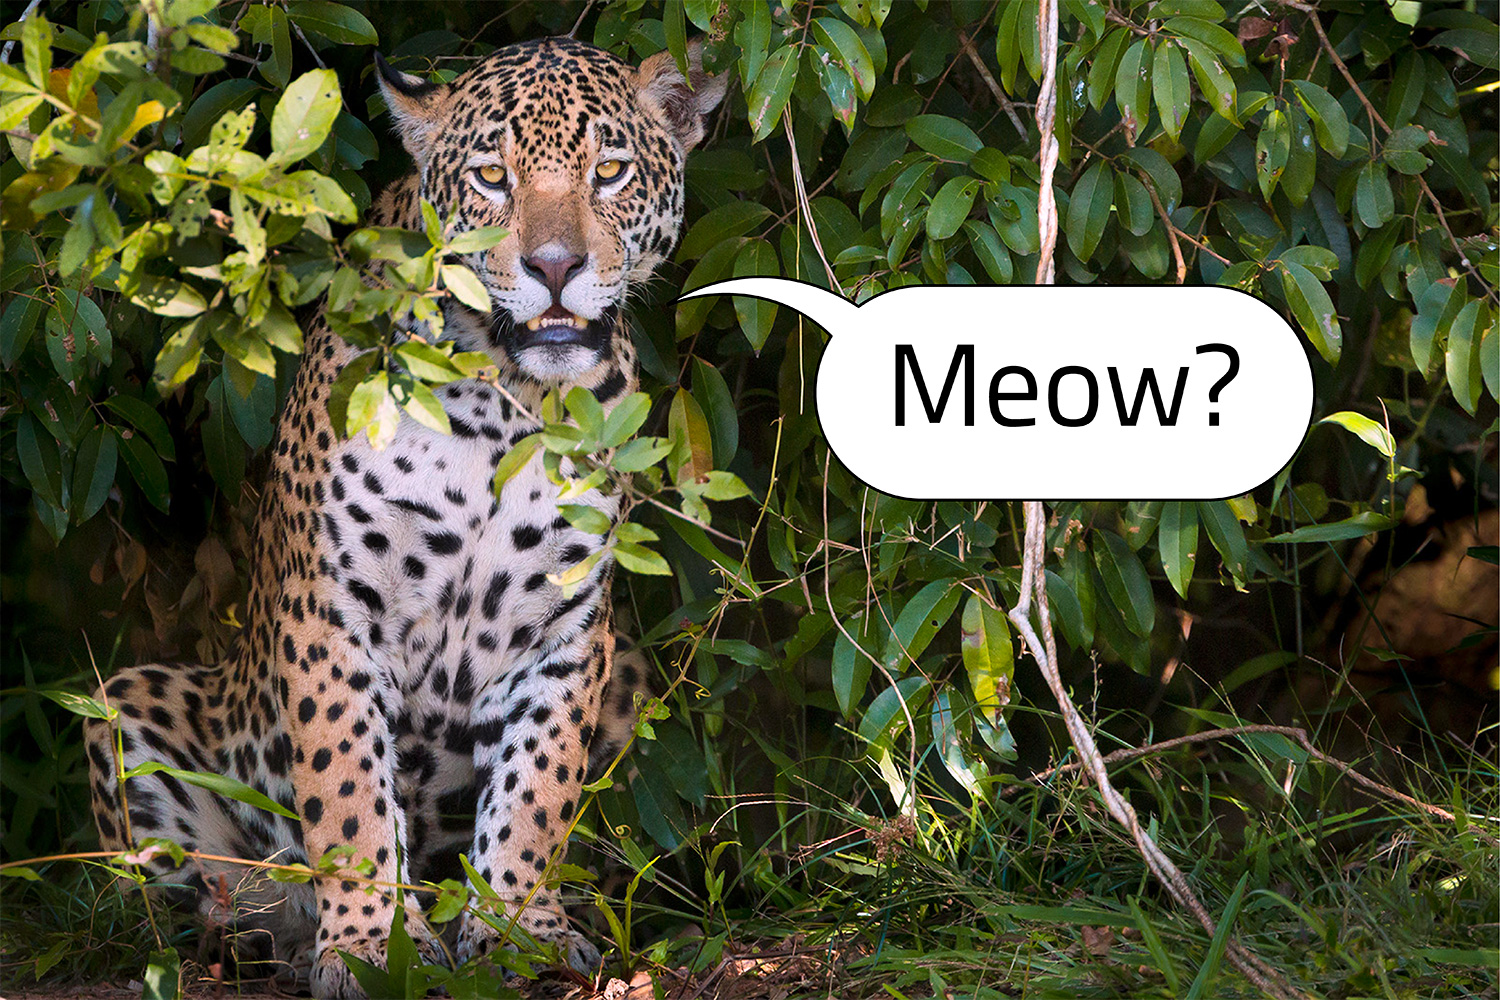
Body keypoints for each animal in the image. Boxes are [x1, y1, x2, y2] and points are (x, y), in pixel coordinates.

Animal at [84, 35, 725, 999]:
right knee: (190, 891)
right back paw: (266, 926)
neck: (507, 399)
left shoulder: (568, 634)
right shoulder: (330, 616)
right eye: (493, 177)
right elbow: (346, 792)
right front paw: (369, 945)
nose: (554, 268)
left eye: (609, 171)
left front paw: (518, 930)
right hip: (128, 704)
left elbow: (538, 794)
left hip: (634, 675)